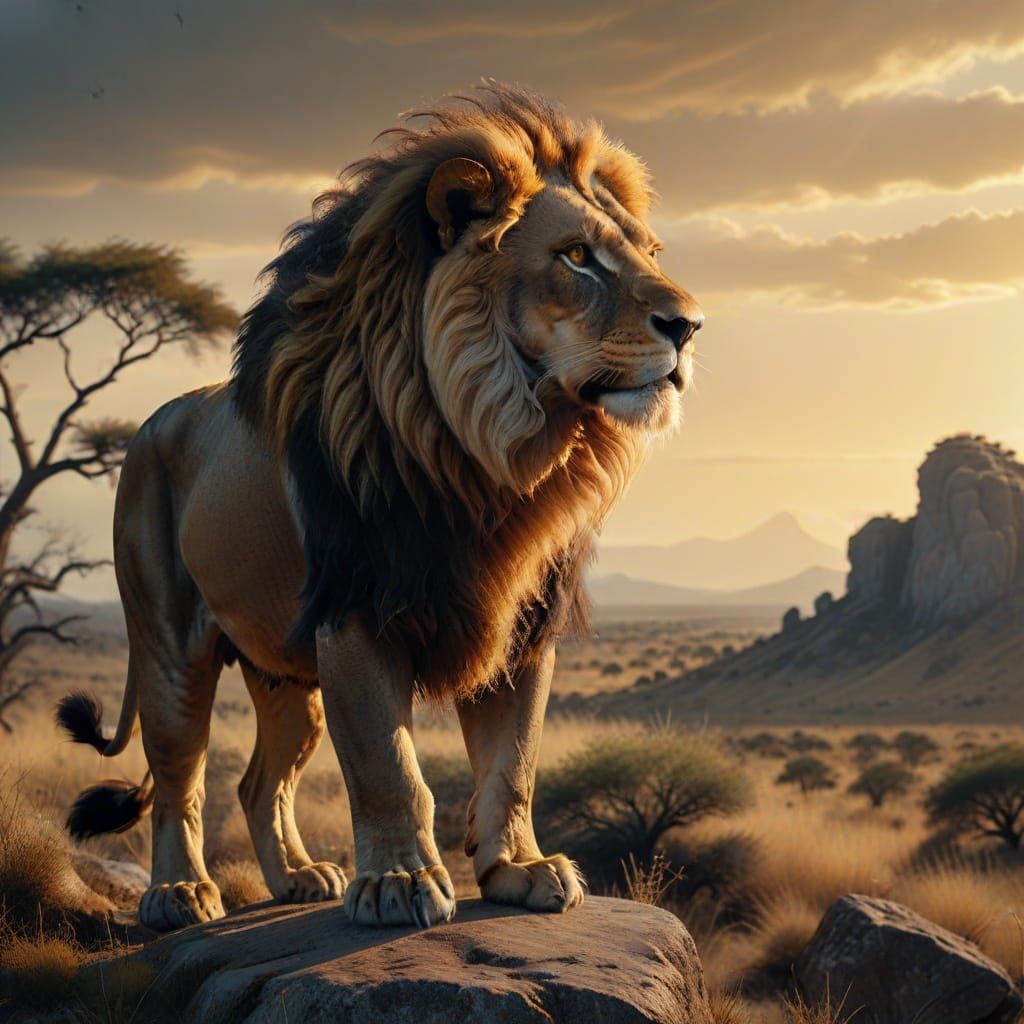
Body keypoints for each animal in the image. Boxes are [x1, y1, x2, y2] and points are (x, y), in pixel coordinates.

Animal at [56, 84, 703, 932]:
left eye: (650, 254)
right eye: (575, 257)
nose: (689, 325)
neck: (494, 457)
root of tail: (153, 422)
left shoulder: (522, 624)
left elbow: (514, 762)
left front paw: (518, 869)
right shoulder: (357, 609)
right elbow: (387, 765)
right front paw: (399, 883)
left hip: (281, 672)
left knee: (258, 784)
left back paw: (298, 878)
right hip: (168, 646)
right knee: (178, 780)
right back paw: (179, 894)